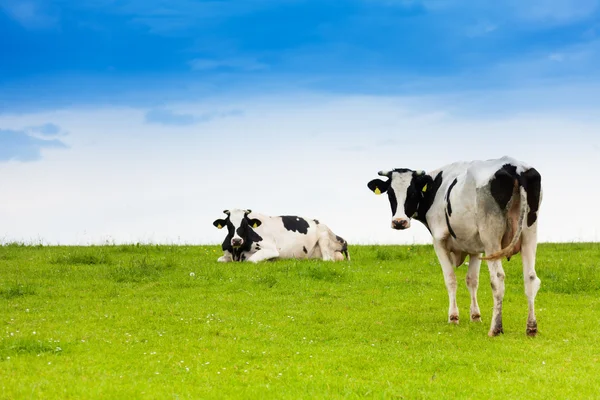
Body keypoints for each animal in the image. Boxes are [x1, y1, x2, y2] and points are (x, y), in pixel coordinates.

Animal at [212, 209, 350, 262]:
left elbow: (251, 260)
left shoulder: (271, 249)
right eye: (229, 224)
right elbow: (219, 259)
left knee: (327, 259)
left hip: (324, 236)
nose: (236, 240)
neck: (238, 252)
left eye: (245, 224)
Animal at [366, 156, 544, 338]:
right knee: (530, 278)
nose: (399, 222)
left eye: (413, 192)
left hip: (491, 238)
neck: (437, 187)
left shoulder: (439, 241)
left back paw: (496, 328)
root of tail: (515, 167)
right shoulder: (475, 247)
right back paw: (531, 328)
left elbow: (450, 279)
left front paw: (453, 317)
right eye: (390, 194)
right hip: (529, 234)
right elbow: (472, 280)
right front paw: (475, 316)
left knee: (498, 279)